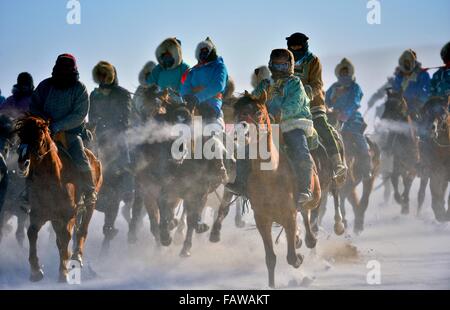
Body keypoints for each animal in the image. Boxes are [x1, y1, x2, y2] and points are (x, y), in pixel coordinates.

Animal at [14, 115, 102, 282]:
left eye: (39, 137)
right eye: (21, 135)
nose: (23, 163)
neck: (52, 181)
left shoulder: (68, 215)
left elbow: (66, 238)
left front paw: (63, 272)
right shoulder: (37, 214)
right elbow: (32, 233)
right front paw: (36, 271)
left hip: (89, 206)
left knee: (82, 230)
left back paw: (77, 256)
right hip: (55, 218)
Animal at [232, 92, 320, 288]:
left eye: (258, 111)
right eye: (236, 111)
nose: (240, 131)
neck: (270, 175)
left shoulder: (289, 215)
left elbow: (292, 257)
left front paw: (299, 257)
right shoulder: (262, 220)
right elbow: (270, 258)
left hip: (314, 197)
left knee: (305, 212)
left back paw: (308, 239)